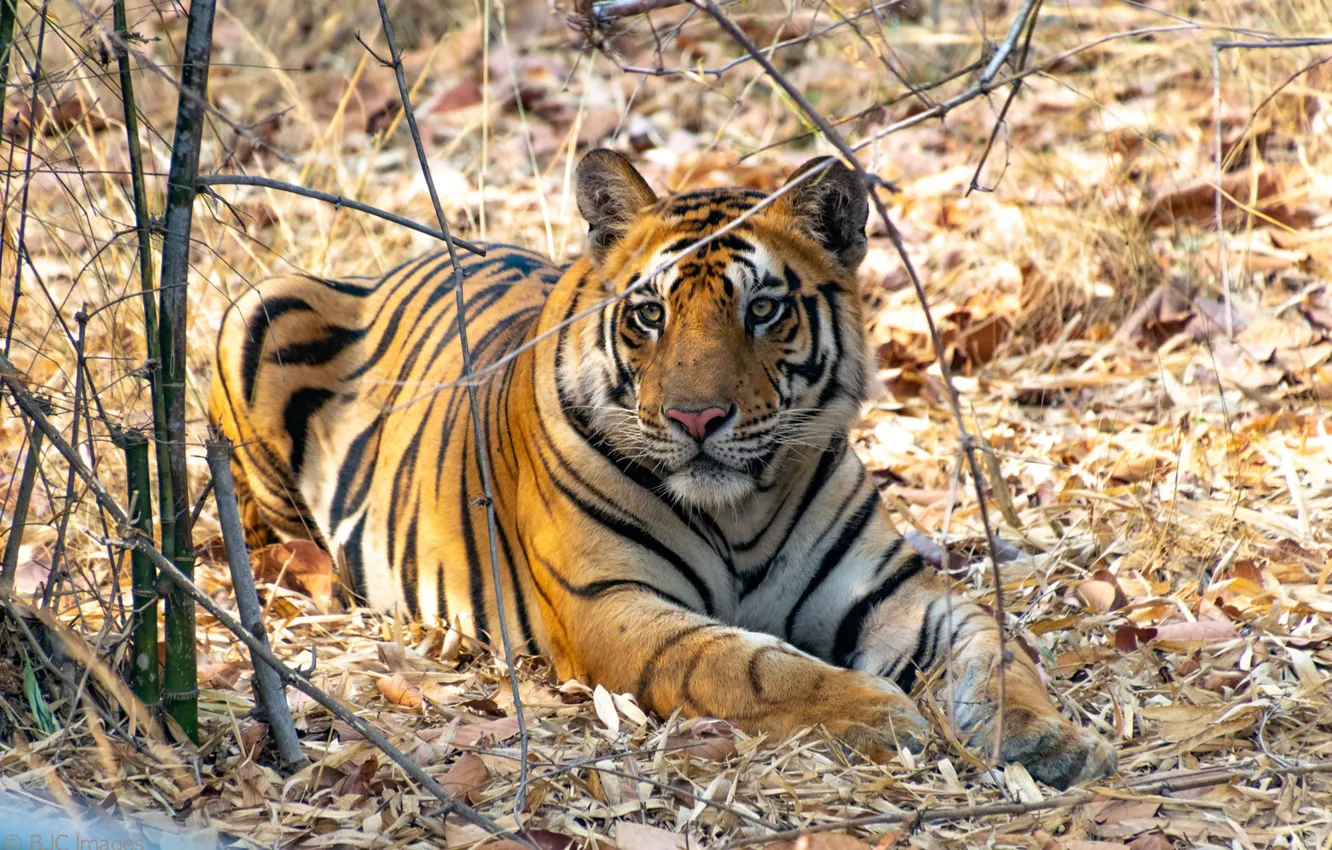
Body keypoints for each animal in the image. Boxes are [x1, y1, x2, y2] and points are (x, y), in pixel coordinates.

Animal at [210, 149, 1116, 789]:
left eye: (763, 310)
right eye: (649, 315)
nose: (696, 419)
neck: (741, 510)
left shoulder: (896, 590)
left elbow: (995, 646)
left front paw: (1047, 738)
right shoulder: (612, 605)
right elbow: (748, 666)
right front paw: (878, 712)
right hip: (253, 310)